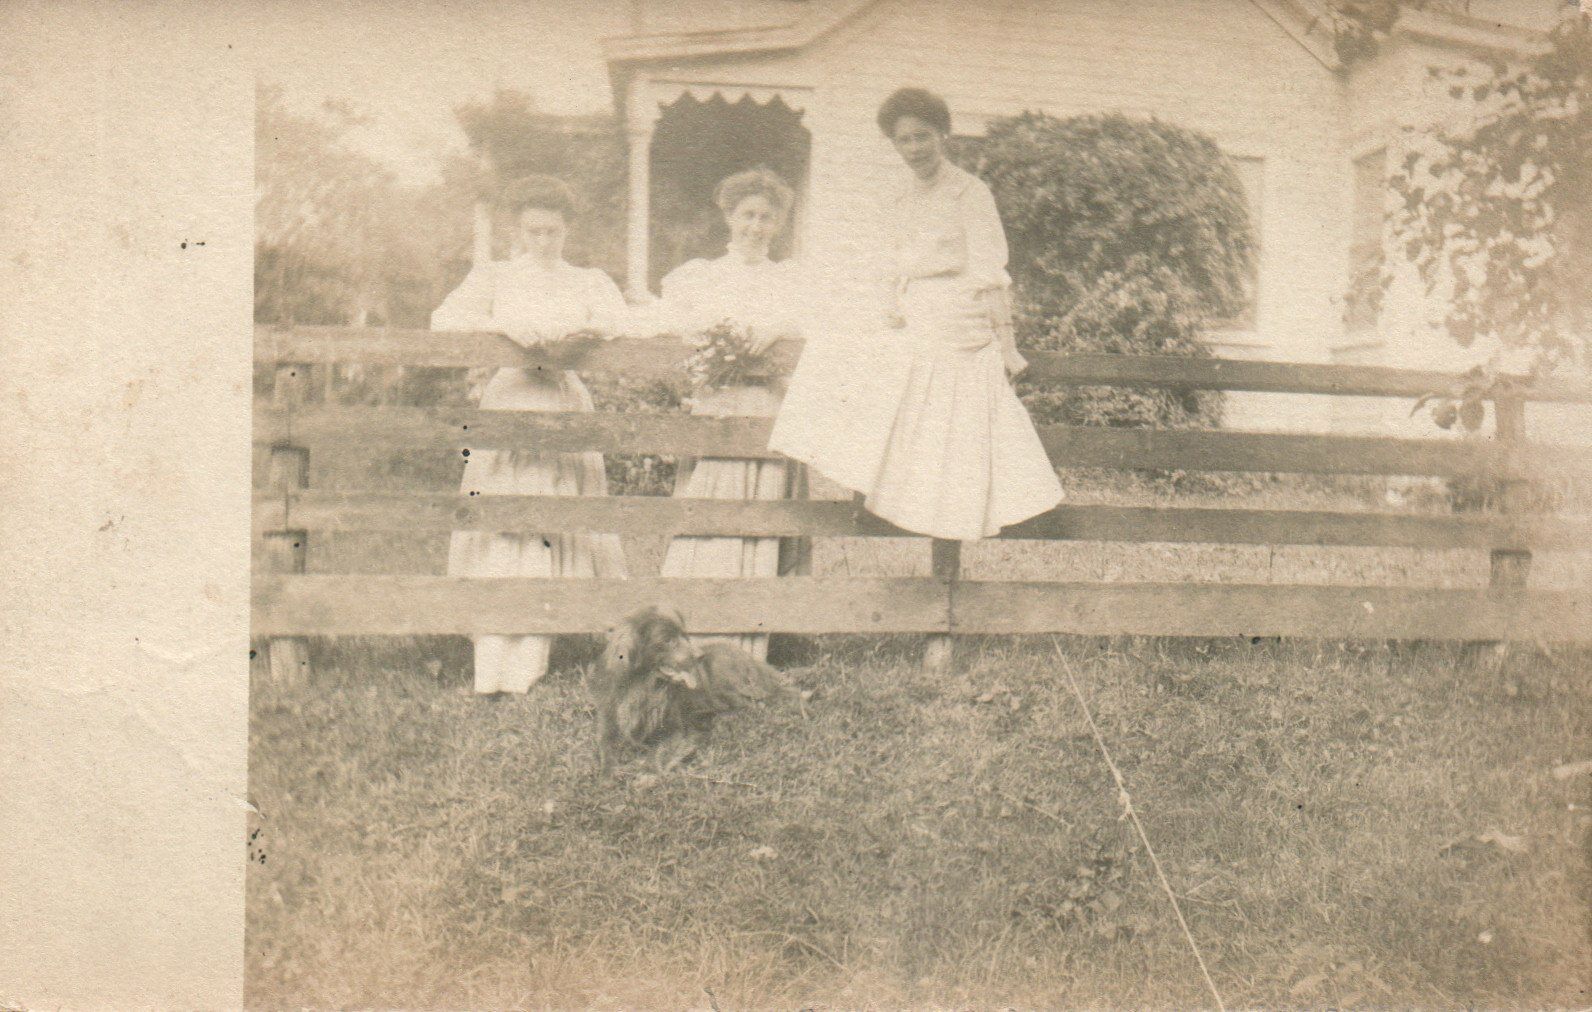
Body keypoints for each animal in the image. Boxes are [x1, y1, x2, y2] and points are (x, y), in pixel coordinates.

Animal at [595, 607, 792, 773]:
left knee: (752, 704)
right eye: (668, 640)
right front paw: (608, 773)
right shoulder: (609, 724)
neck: (644, 687)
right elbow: (605, 748)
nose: (700, 656)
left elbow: (659, 752)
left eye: (684, 635)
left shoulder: (676, 730)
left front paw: (648, 774)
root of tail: (752, 659)